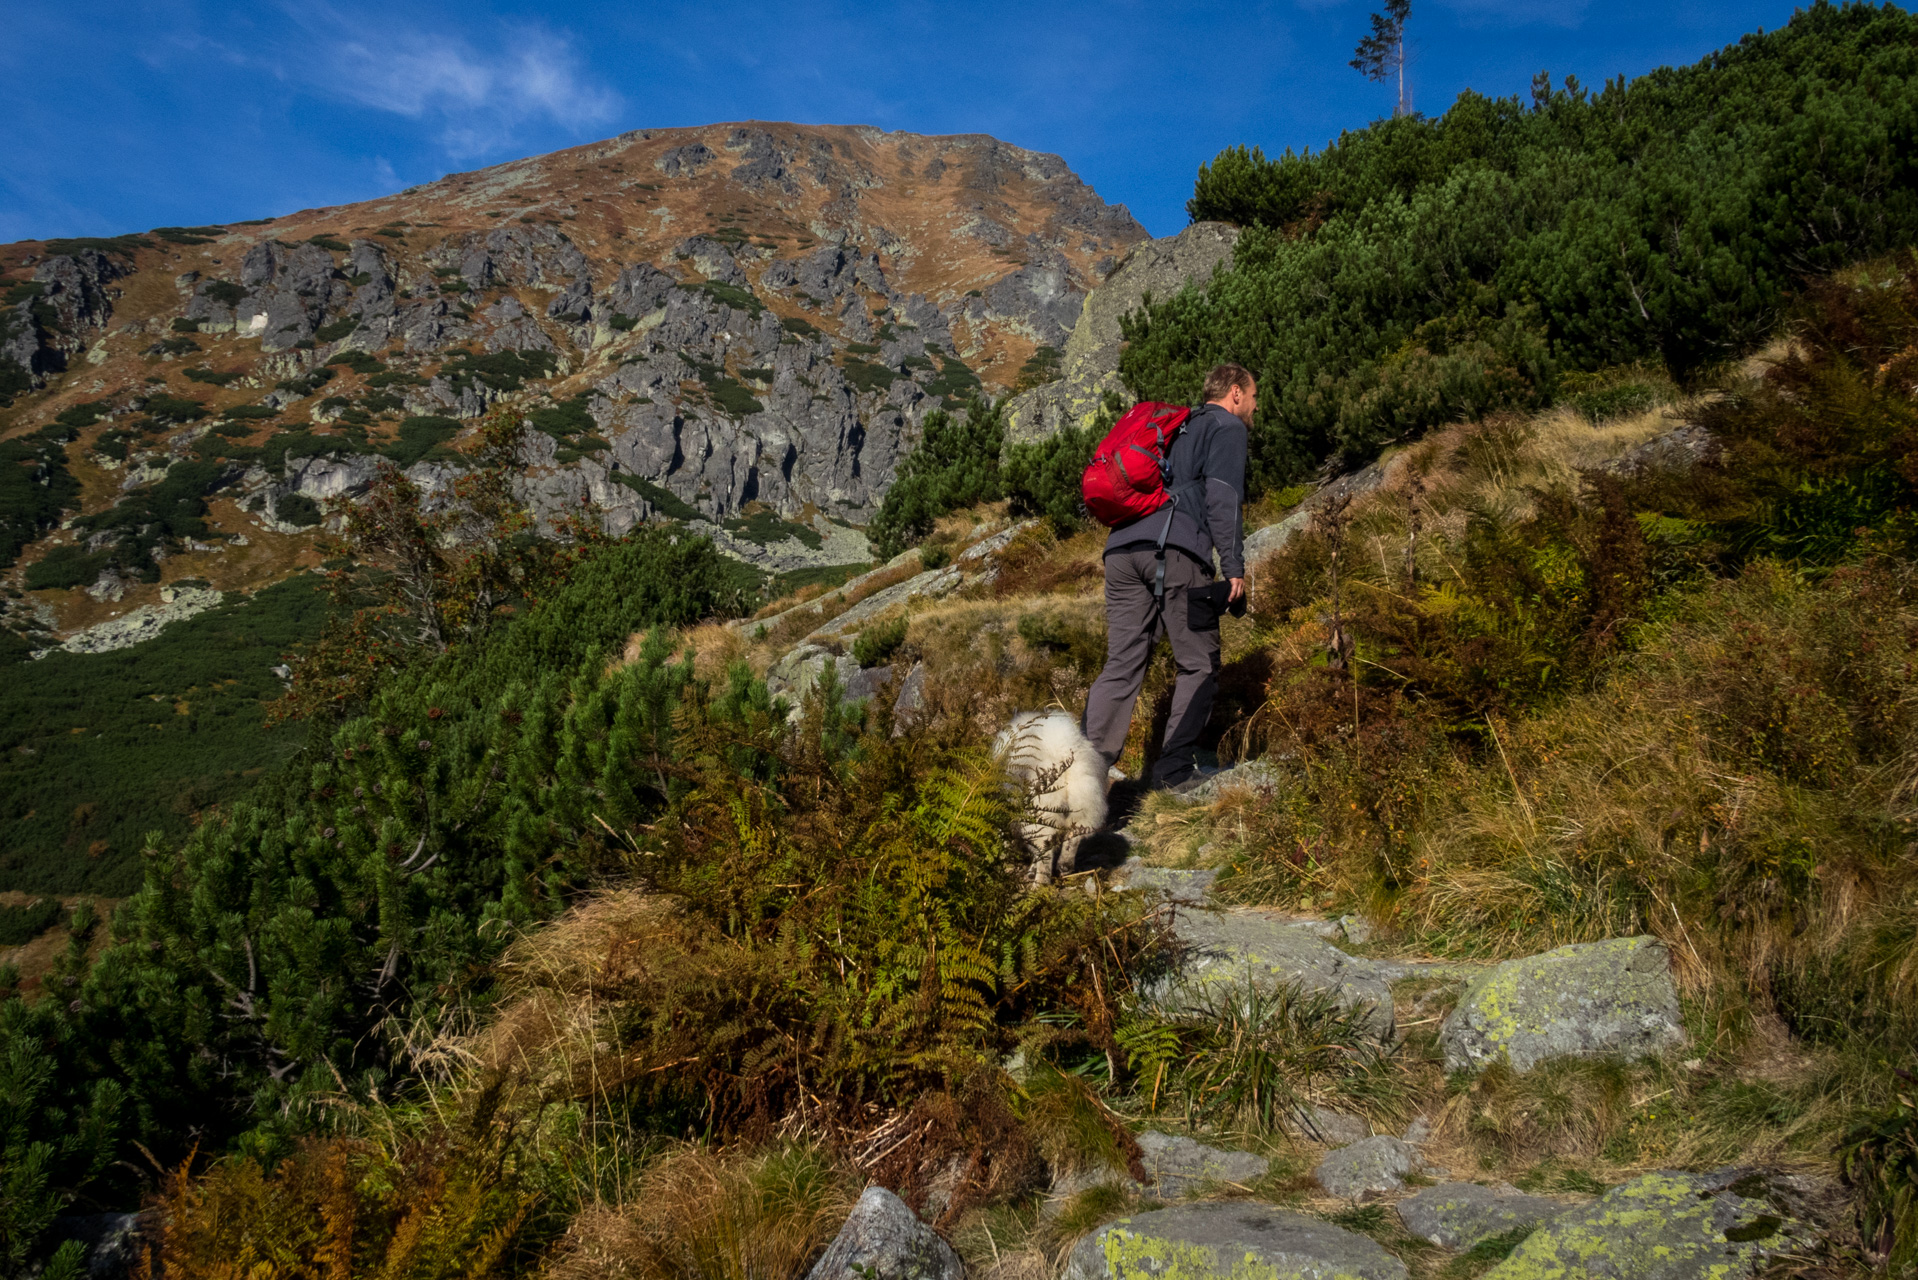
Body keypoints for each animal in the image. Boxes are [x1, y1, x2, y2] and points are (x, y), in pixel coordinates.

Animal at [989, 710, 1112, 882]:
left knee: (1045, 856)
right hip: (1083, 812)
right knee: (1071, 840)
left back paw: (1039, 884)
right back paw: (1065, 867)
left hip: (1042, 819)